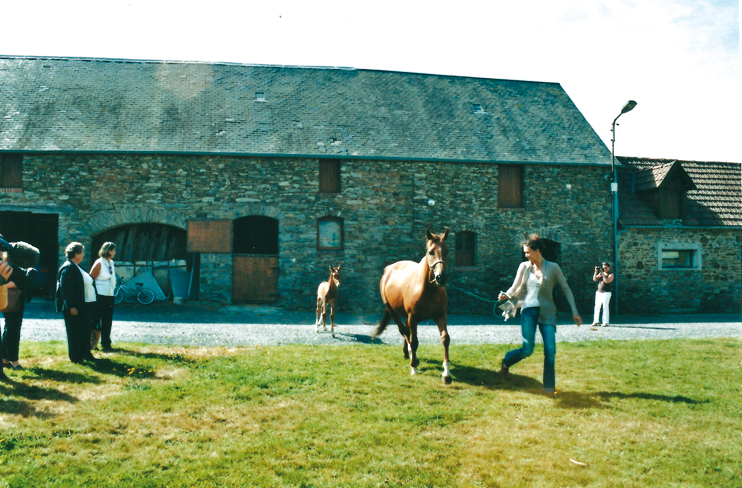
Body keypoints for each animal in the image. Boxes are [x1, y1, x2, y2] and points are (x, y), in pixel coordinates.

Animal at [372, 230, 454, 386]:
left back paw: (407, 353)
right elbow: (415, 342)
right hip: (393, 311)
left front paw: (446, 373)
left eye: (447, 251)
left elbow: (445, 339)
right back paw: (411, 356)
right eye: (431, 252)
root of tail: (388, 269)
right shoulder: (413, 318)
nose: (441, 277)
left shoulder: (440, 315)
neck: (427, 289)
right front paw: (414, 367)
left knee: (406, 331)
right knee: (404, 331)